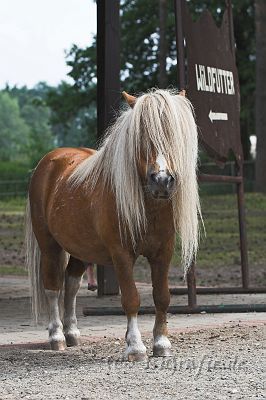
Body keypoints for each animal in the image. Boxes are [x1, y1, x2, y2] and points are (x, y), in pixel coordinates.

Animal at [25, 89, 202, 360]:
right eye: (142, 136)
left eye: (175, 135)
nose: (162, 181)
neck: (149, 208)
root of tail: (48, 162)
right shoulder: (121, 254)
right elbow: (131, 298)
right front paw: (135, 347)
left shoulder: (163, 252)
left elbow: (162, 296)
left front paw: (161, 343)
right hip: (49, 246)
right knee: (53, 286)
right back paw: (56, 337)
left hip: (81, 249)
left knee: (72, 285)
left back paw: (72, 333)